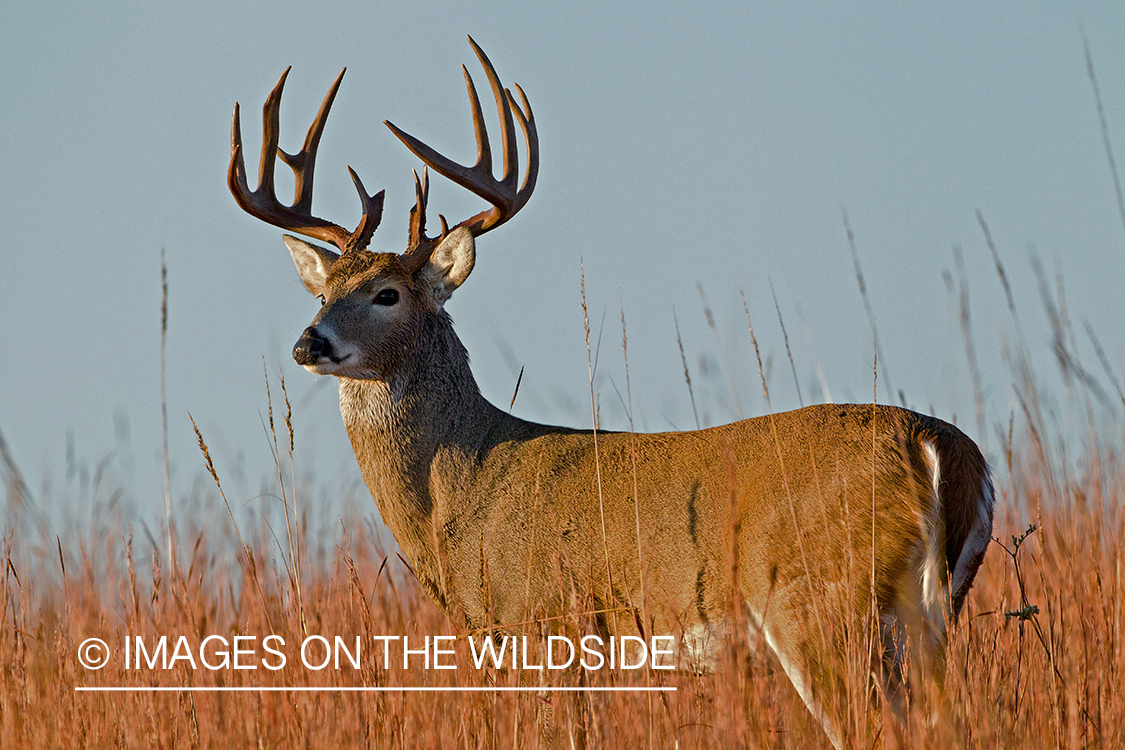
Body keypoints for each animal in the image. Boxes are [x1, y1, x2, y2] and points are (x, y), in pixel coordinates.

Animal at [226, 38, 994, 746]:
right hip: (931, 610)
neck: (463, 492)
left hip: (820, 600)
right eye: (323, 291)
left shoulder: (546, 625)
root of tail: (934, 443)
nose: (309, 343)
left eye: (386, 294)